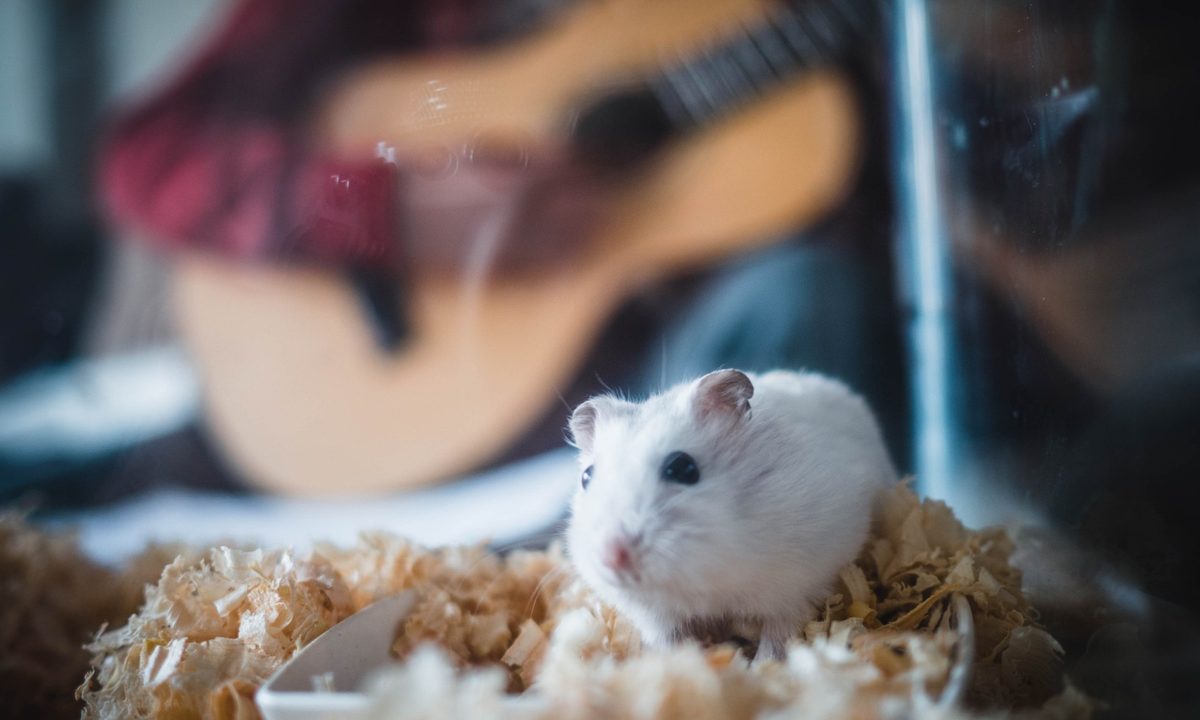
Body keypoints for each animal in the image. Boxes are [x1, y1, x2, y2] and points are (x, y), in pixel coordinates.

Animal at [565, 369, 897, 661]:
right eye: (586, 477)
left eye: (682, 467)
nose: (612, 556)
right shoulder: (657, 617)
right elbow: (671, 643)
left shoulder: (799, 586)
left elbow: (778, 636)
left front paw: (761, 668)